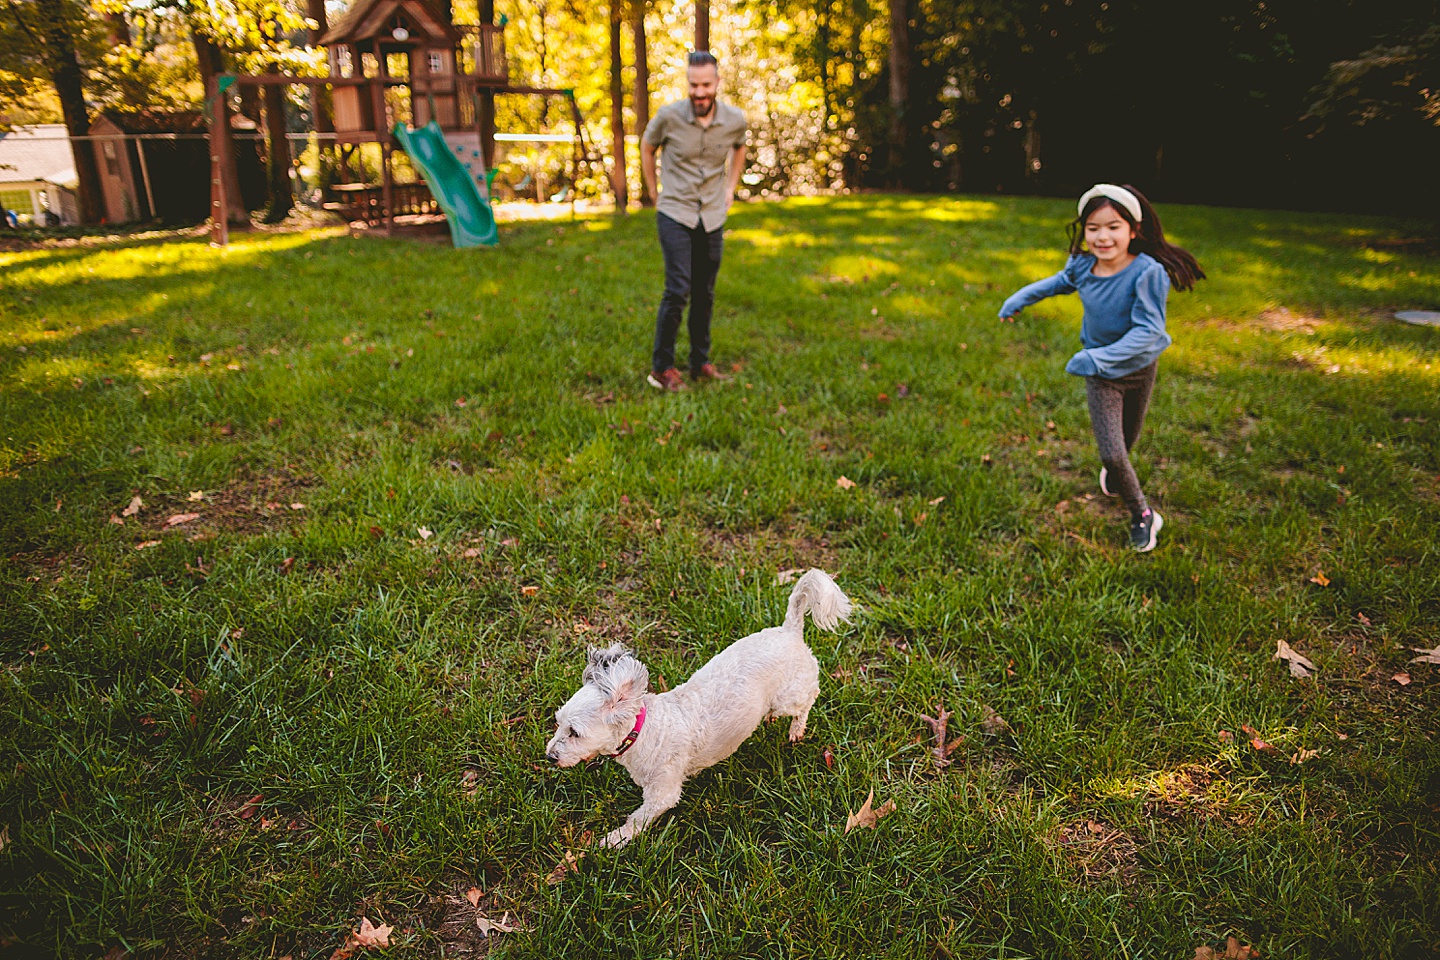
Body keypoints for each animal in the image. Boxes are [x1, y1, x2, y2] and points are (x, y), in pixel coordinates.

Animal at [544, 569, 846, 846]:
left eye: (575, 732)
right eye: (558, 723)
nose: (549, 757)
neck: (644, 730)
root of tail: (789, 629)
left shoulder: (662, 792)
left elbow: (638, 819)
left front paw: (614, 839)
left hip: (789, 697)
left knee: (809, 698)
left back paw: (796, 730)